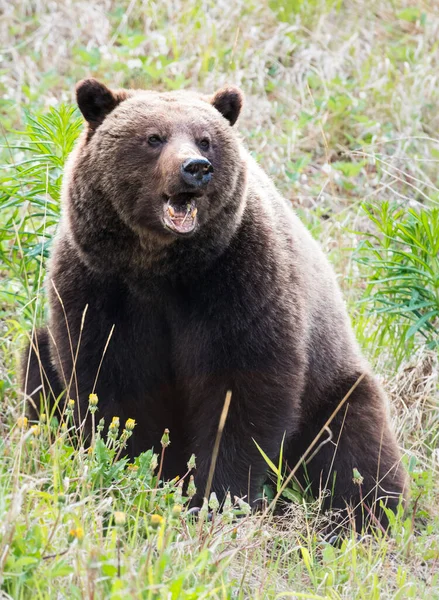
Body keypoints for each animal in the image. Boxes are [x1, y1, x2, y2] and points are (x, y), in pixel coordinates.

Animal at [23, 78, 410, 536]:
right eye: (153, 137)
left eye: (206, 139)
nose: (196, 167)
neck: (159, 268)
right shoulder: (99, 286)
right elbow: (108, 384)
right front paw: (130, 469)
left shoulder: (238, 282)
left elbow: (240, 394)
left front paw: (214, 497)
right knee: (37, 362)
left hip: (333, 386)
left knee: (354, 449)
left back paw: (361, 517)